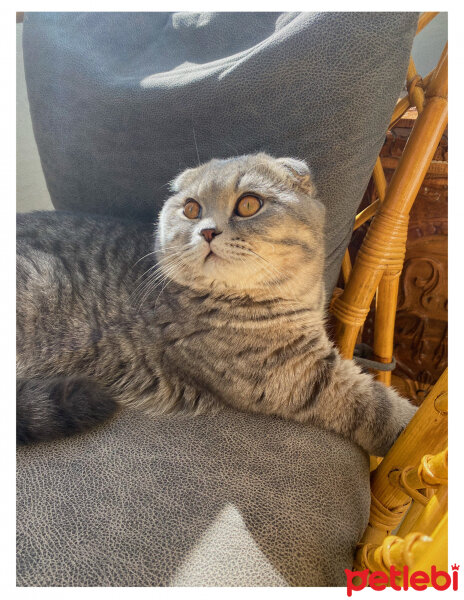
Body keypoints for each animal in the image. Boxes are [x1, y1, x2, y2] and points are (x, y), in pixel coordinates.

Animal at [15, 152, 416, 452]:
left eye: (249, 204)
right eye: (192, 209)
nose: (207, 231)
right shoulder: (293, 375)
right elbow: (378, 407)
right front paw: (412, 425)